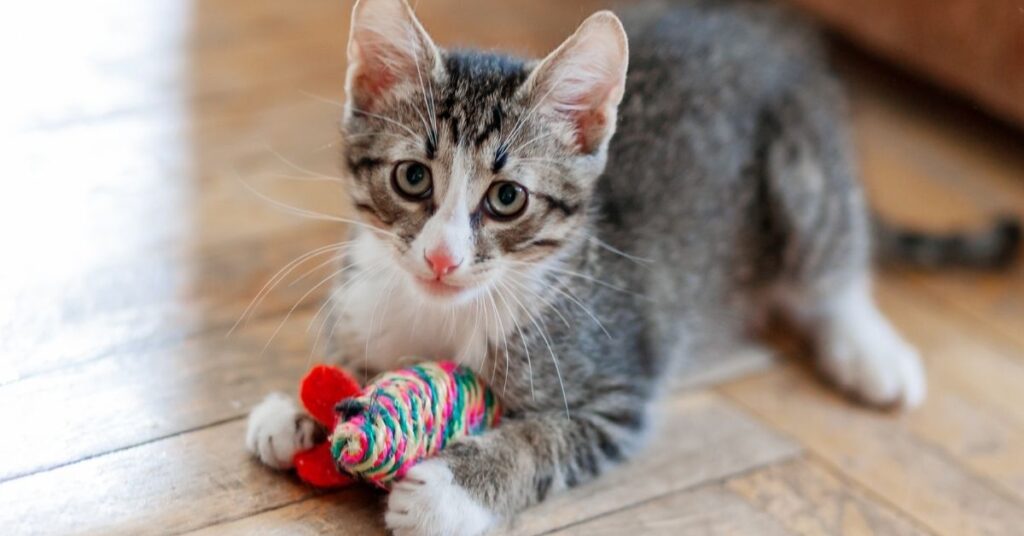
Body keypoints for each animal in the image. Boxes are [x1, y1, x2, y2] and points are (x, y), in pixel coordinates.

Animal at [245, 1, 1015, 536]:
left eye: (506, 198)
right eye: (411, 178)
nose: (441, 257)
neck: (443, 310)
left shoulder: (621, 386)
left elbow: (549, 436)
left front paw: (456, 488)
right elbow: (350, 366)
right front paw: (302, 408)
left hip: (803, 180)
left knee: (835, 263)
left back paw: (870, 351)